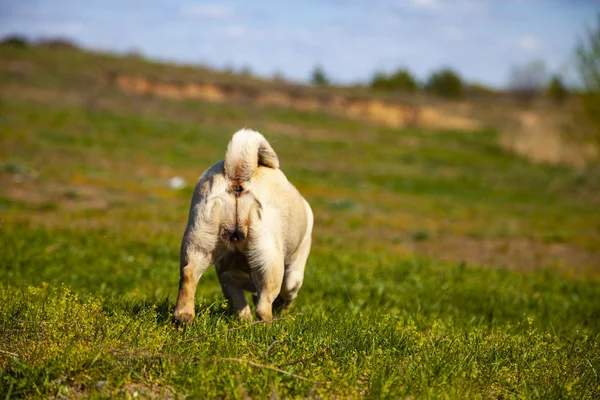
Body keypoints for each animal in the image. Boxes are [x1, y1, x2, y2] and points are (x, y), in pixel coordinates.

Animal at [172, 130, 314, 324]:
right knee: (264, 306)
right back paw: (267, 326)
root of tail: (238, 175)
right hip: (269, 261)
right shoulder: (294, 270)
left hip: (199, 242)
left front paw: (244, 320)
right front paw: (280, 307)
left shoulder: (228, 278)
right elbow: (287, 292)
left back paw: (183, 316)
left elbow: (239, 305)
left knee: (188, 274)